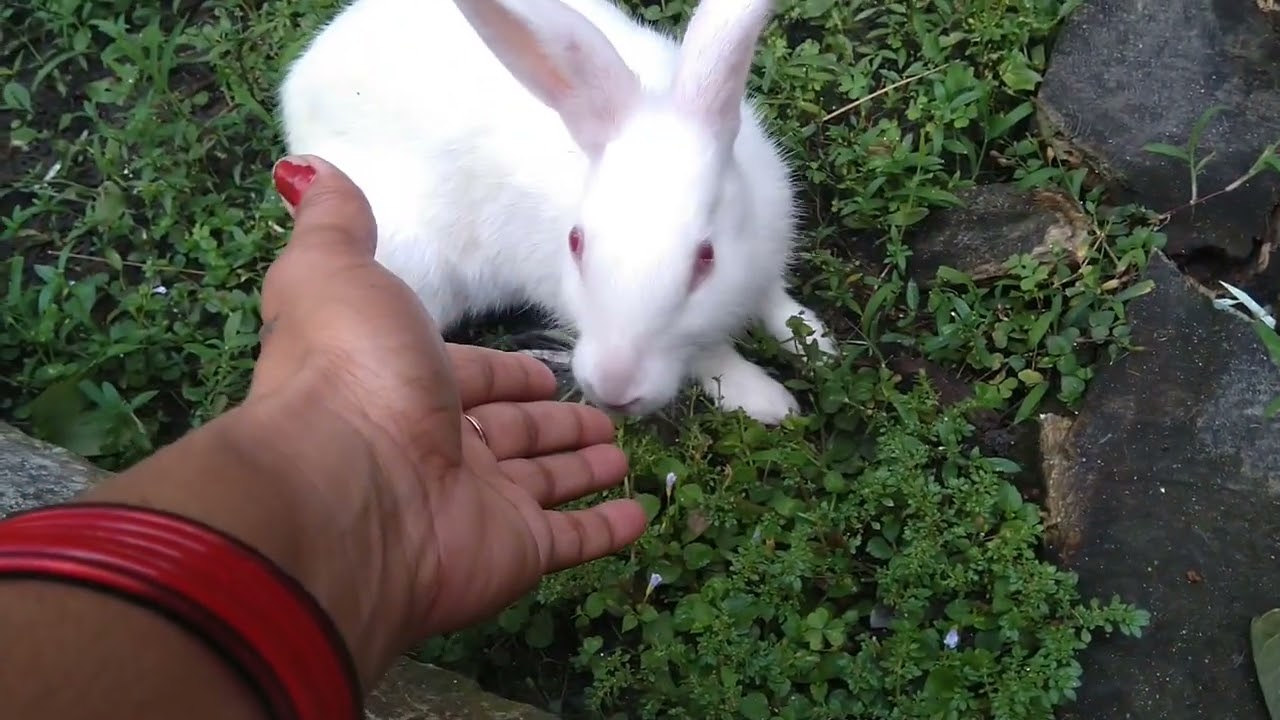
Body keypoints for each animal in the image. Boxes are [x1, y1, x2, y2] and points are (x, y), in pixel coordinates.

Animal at [277, 0, 839, 424]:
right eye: (576, 244)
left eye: (706, 258)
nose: (614, 388)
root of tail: (297, 88)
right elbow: (711, 355)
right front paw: (766, 400)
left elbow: (775, 303)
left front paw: (816, 341)